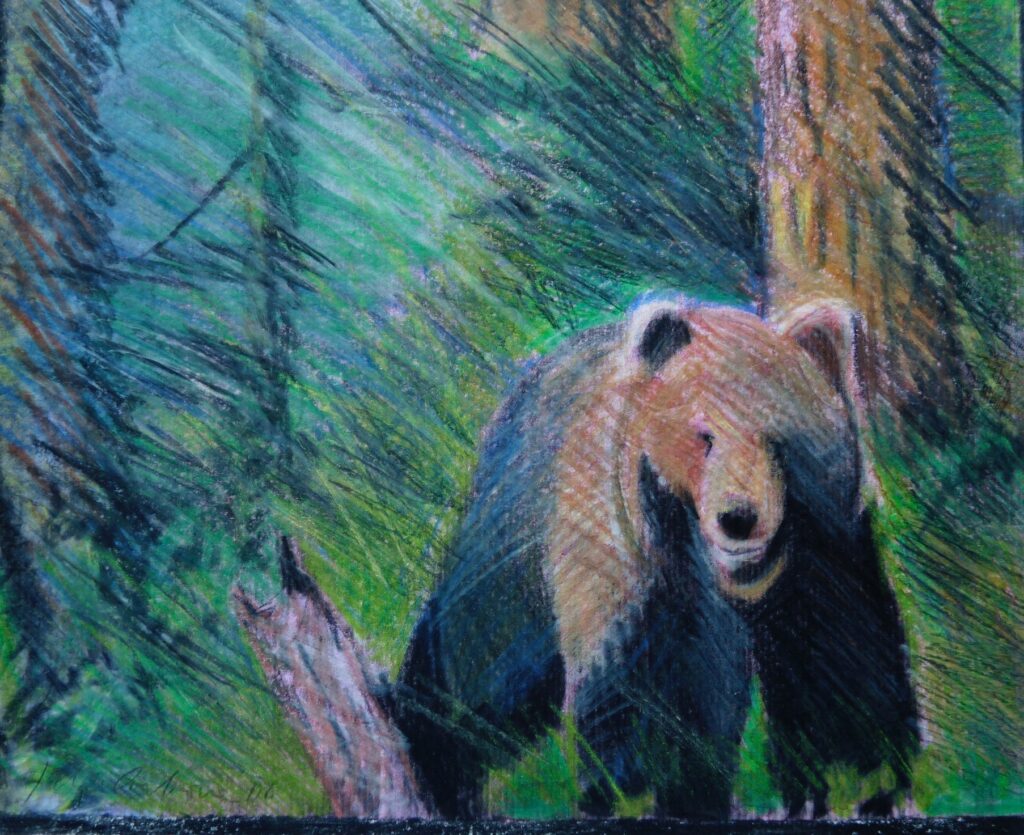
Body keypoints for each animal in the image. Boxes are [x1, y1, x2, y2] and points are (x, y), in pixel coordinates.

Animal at [389, 294, 918, 819]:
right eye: (705, 436)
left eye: (779, 437)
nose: (737, 517)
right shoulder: (624, 555)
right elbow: (627, 690)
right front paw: (630, 793)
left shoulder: (829, 553)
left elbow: (842, 673)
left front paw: (861, 783)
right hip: (515, 540)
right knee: (479, 667)